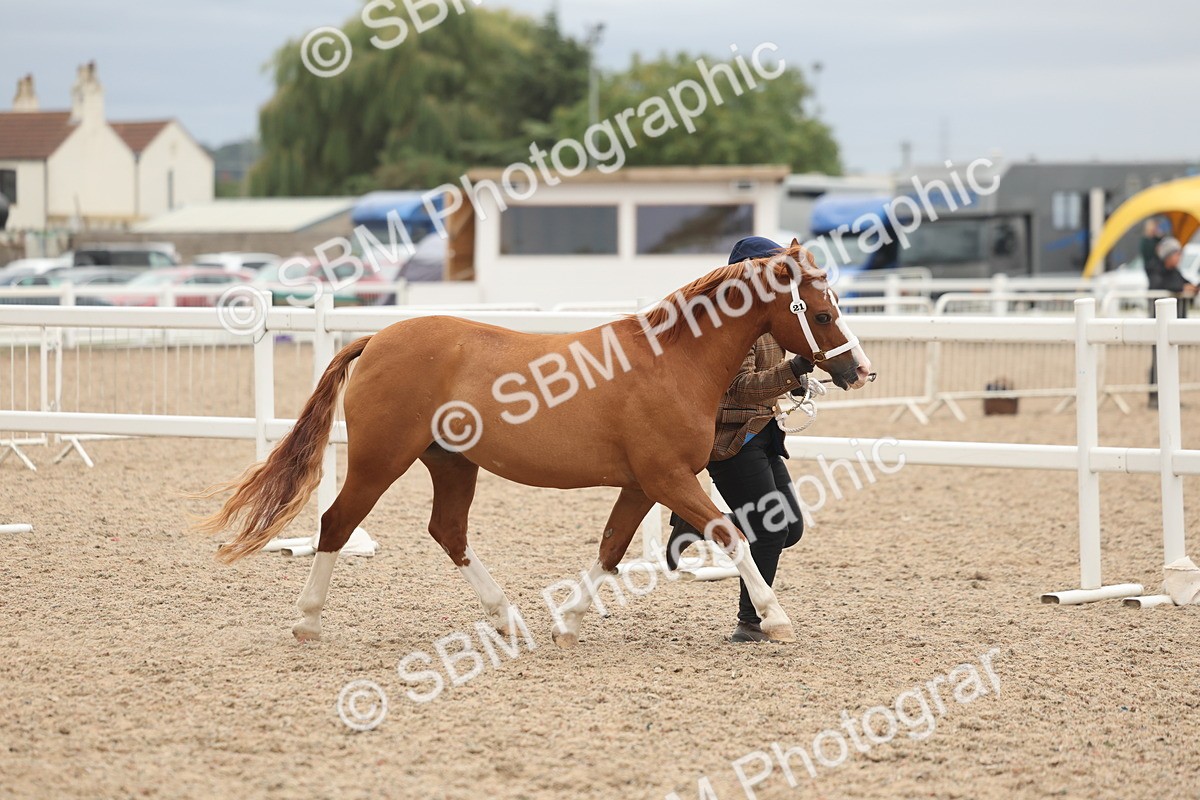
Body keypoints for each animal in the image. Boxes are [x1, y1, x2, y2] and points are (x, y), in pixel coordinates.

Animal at [195, 241, 873, 647]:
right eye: (822, 312)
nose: (858, 371)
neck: (671, 361)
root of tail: (378, 338)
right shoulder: (669, 478)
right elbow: (731, 535)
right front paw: (777, 619)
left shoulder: (642, 484)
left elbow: (610, 548)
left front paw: (568, 623)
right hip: (378, 460)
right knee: (336, 523)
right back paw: (307, 622)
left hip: (451, 464)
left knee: (448, 531)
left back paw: (508, 618)